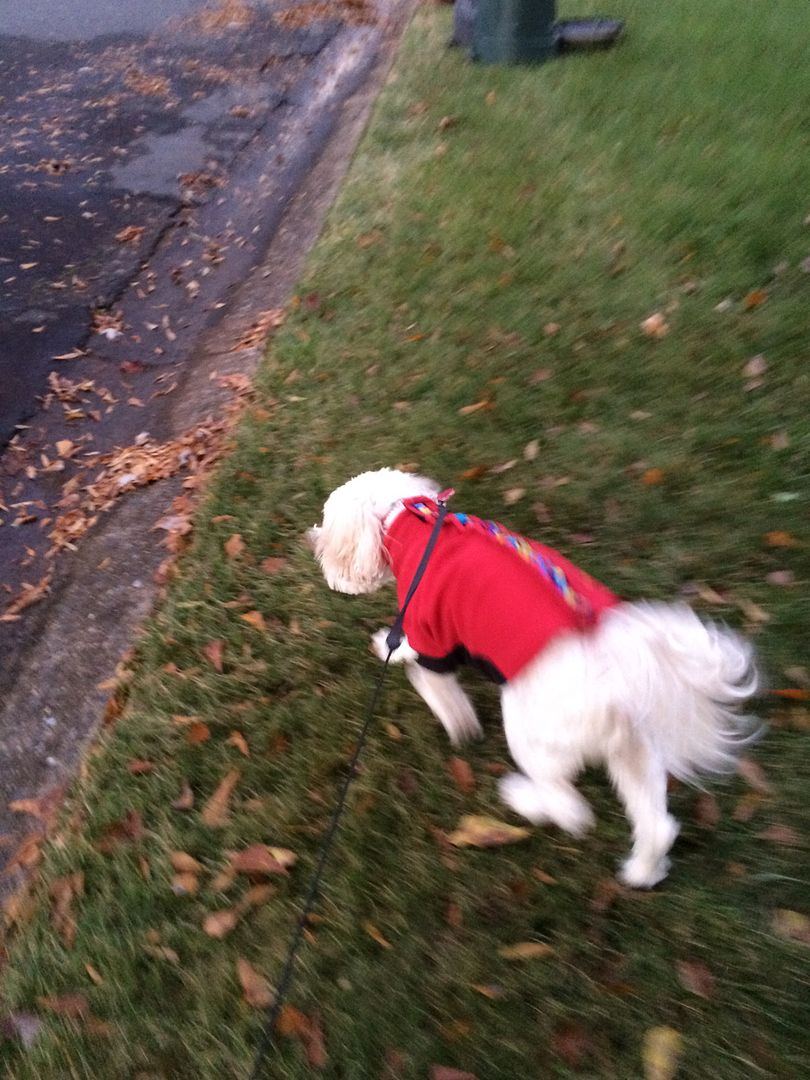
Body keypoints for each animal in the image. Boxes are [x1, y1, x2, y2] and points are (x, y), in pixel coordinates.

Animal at [311, 466, 760, 885]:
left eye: (326, 523)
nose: (311, 539)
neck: (408, 519)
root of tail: (616, 670)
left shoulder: (430, 629)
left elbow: (433, 680)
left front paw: (453, 718)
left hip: (530, 731)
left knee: (572, 810)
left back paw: (522, 798)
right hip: (635, 751)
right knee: (656, 824)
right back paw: (642, 872)